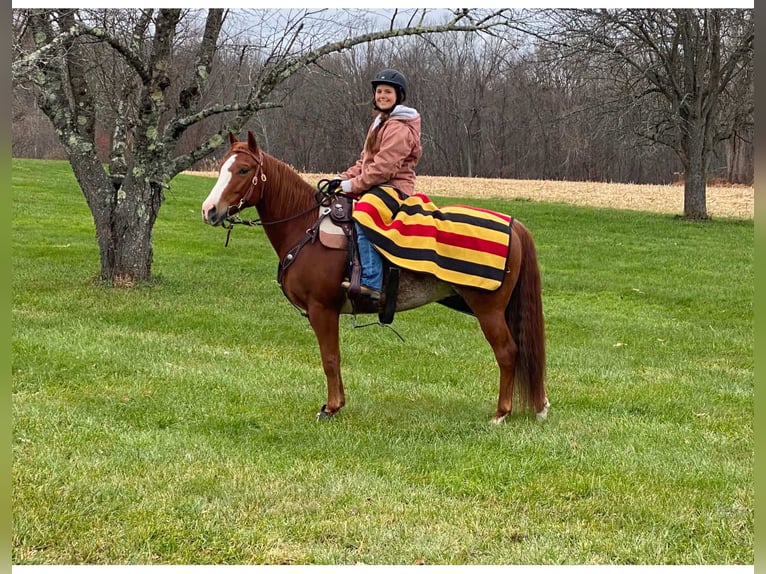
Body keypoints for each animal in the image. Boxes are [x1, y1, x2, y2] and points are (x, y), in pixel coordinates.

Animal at [201, 131, 549, 423]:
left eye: (244, 170)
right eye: (222, 168)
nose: (210, 210)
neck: (306, 228)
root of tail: (513, 224)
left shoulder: (322, 310)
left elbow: (330, 357)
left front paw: (331, 408)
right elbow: (333, 358)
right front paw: (337, 403)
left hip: (489, 310)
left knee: (507, 352)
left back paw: (501, 413)